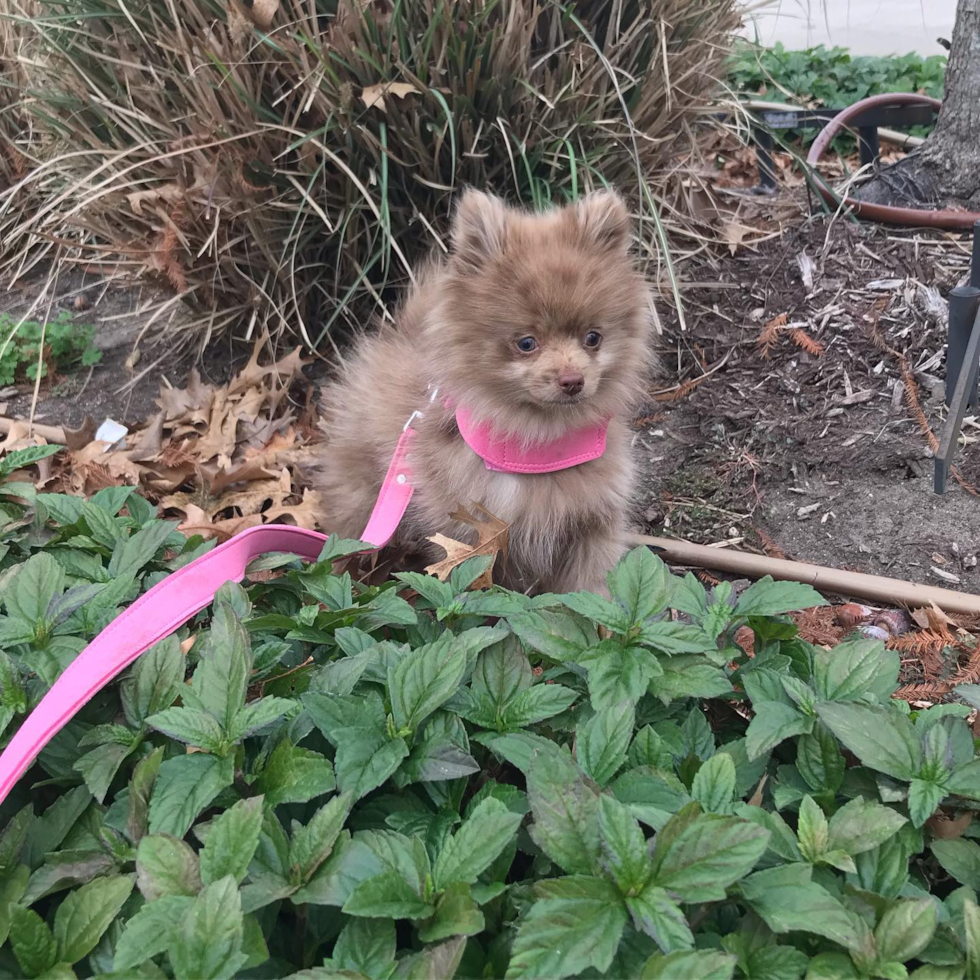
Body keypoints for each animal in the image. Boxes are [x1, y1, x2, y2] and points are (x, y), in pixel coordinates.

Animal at [314, 188, 656, 592]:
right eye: (526, 343)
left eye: (593, 338)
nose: (572, 380)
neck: (541, 450)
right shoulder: (474, 534)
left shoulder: (593, 525)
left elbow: (589, 588)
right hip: (360, 496)